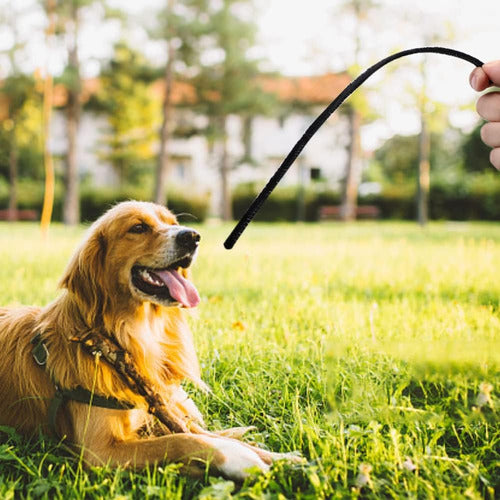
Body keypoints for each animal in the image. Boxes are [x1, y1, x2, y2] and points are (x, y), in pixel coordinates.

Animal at [0, 200, 294, 480]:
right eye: (138, 228)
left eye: (173, 223)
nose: (193, 236)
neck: (128, 335)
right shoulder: (100, 451)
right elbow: (183, 439)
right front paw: (236, 458)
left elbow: (198, 433)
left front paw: (283, 458)